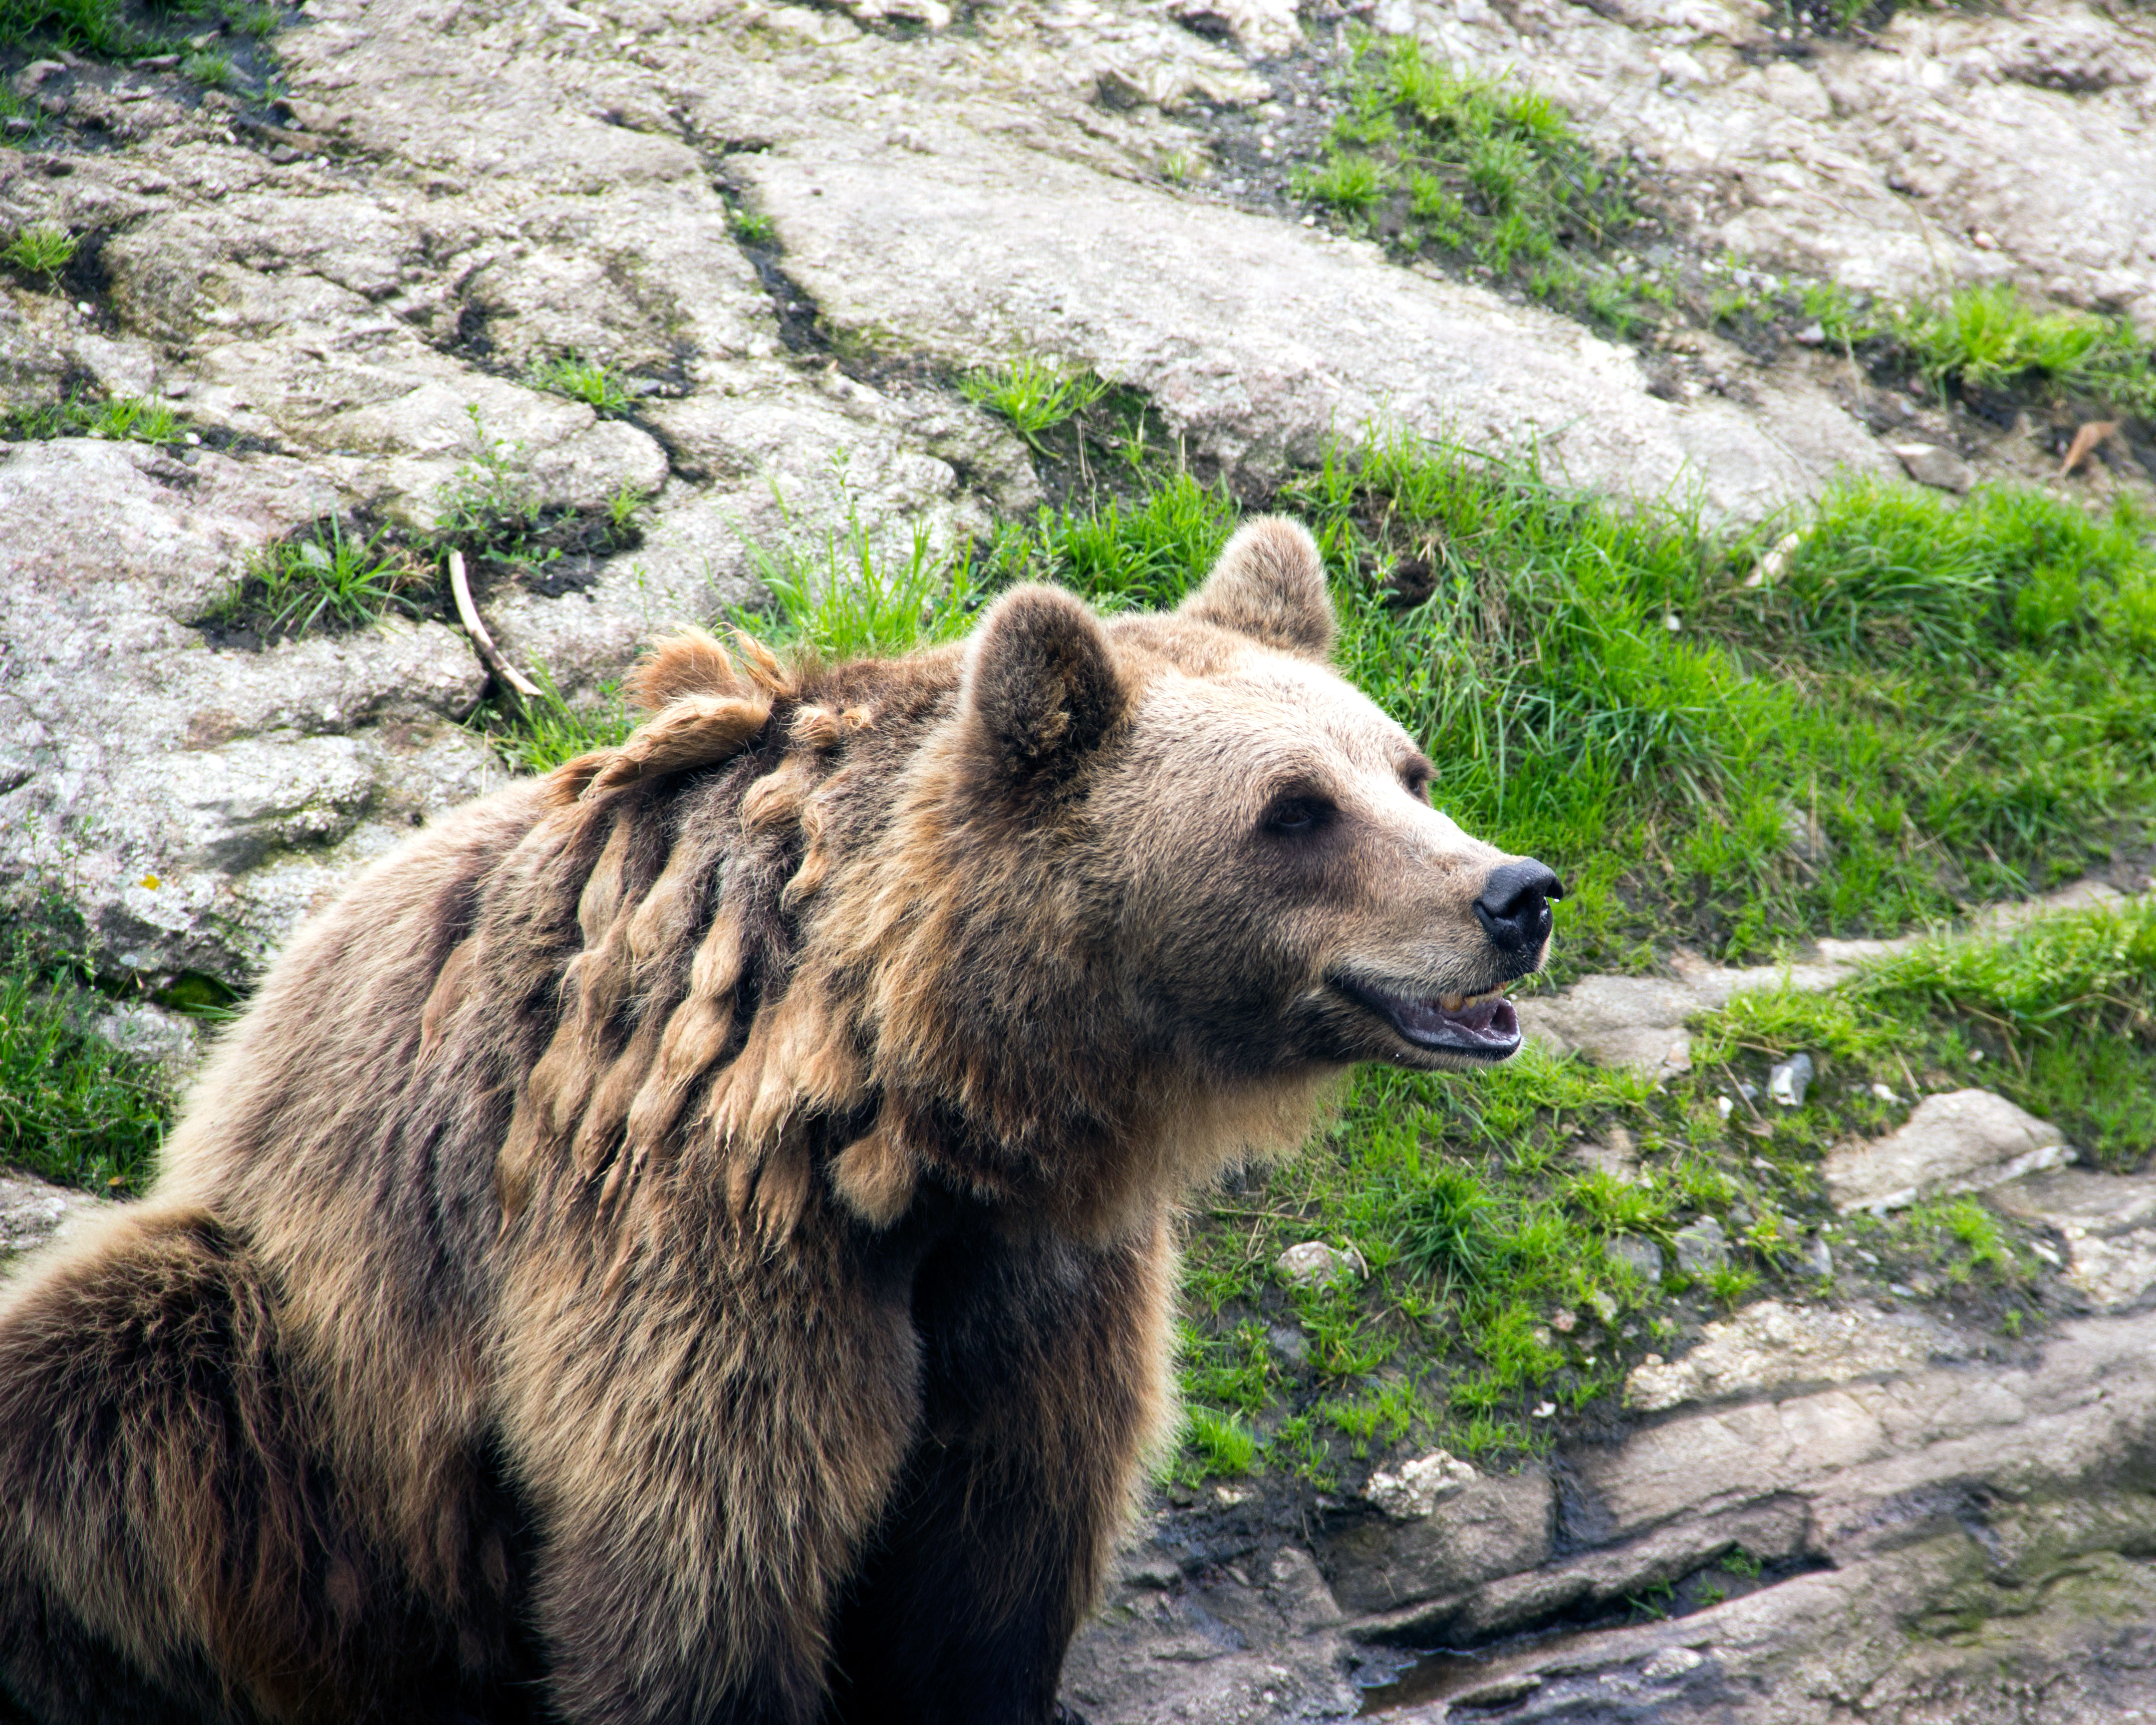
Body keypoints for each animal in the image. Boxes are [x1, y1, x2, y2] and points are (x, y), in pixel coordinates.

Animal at [0, 516, 1561, 1725]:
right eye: (1294, 809)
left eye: (1408, 769)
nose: (1515, 892)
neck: (910, 1096)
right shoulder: (700, 1226)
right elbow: (703, 1552)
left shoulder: (1032, 1285)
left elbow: (1003, 1547)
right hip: (309, 1384)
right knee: (103, 1404)